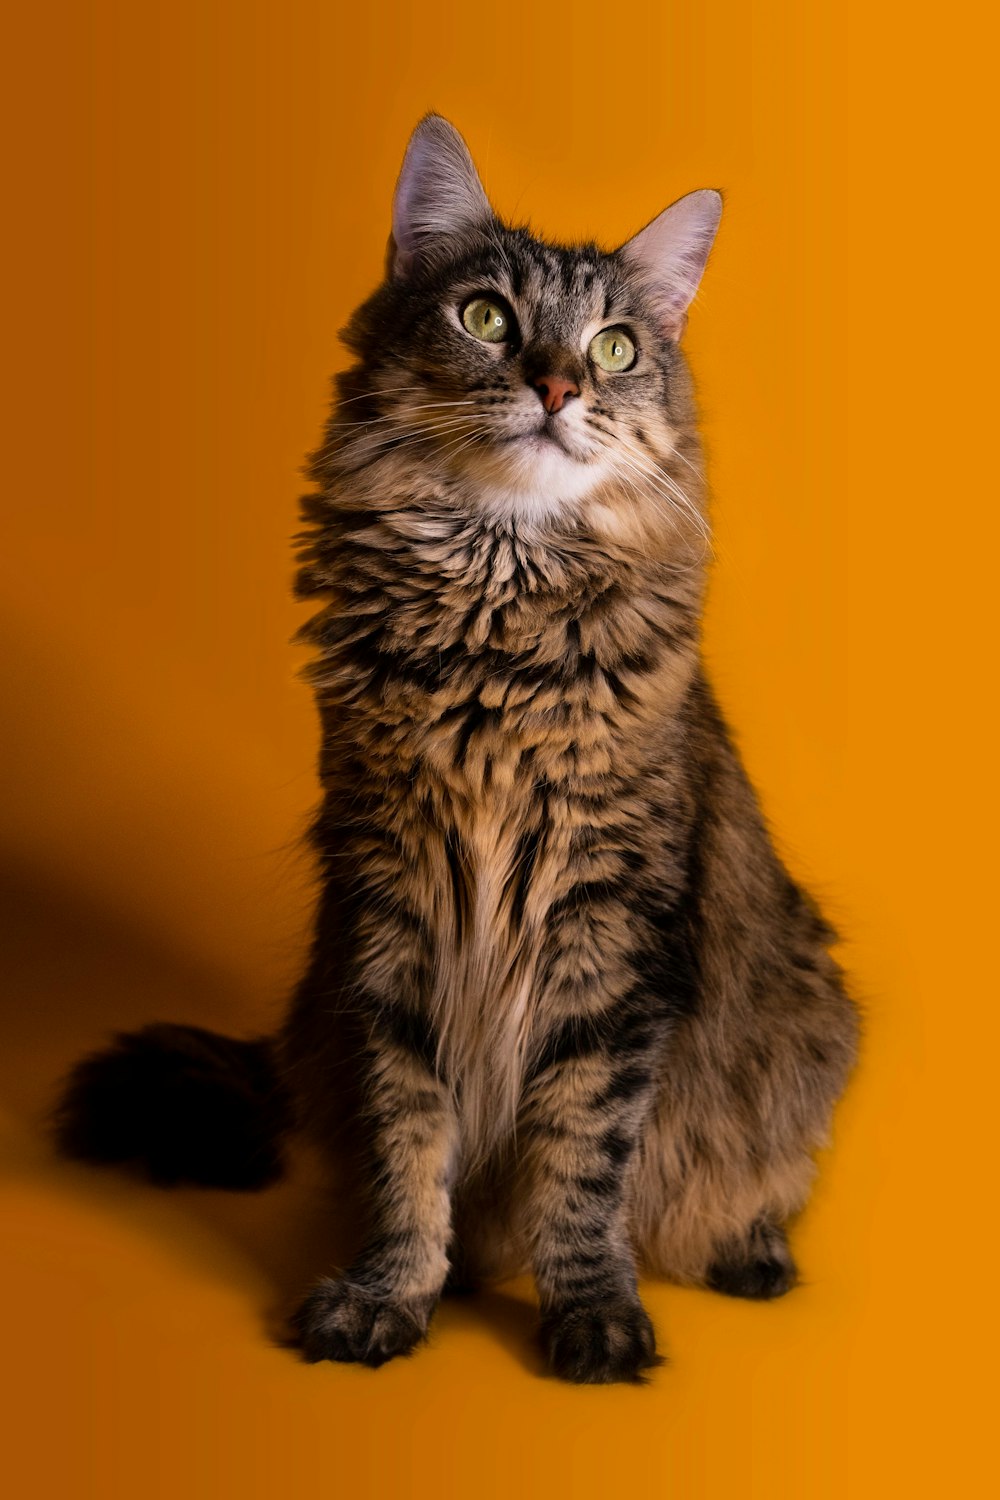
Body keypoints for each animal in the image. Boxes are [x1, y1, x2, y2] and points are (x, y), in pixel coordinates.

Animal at [52, 114, 863, 1380]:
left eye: (616, 348)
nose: (557, 382)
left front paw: (592, 1315)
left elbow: (584, 1154)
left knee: (747, 1181)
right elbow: (408, 1141)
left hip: (808, 1015)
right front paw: (394, 1290)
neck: (495, 621)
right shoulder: (394, 909)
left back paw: (748, 1251)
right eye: (487, 317)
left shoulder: (609, 933)